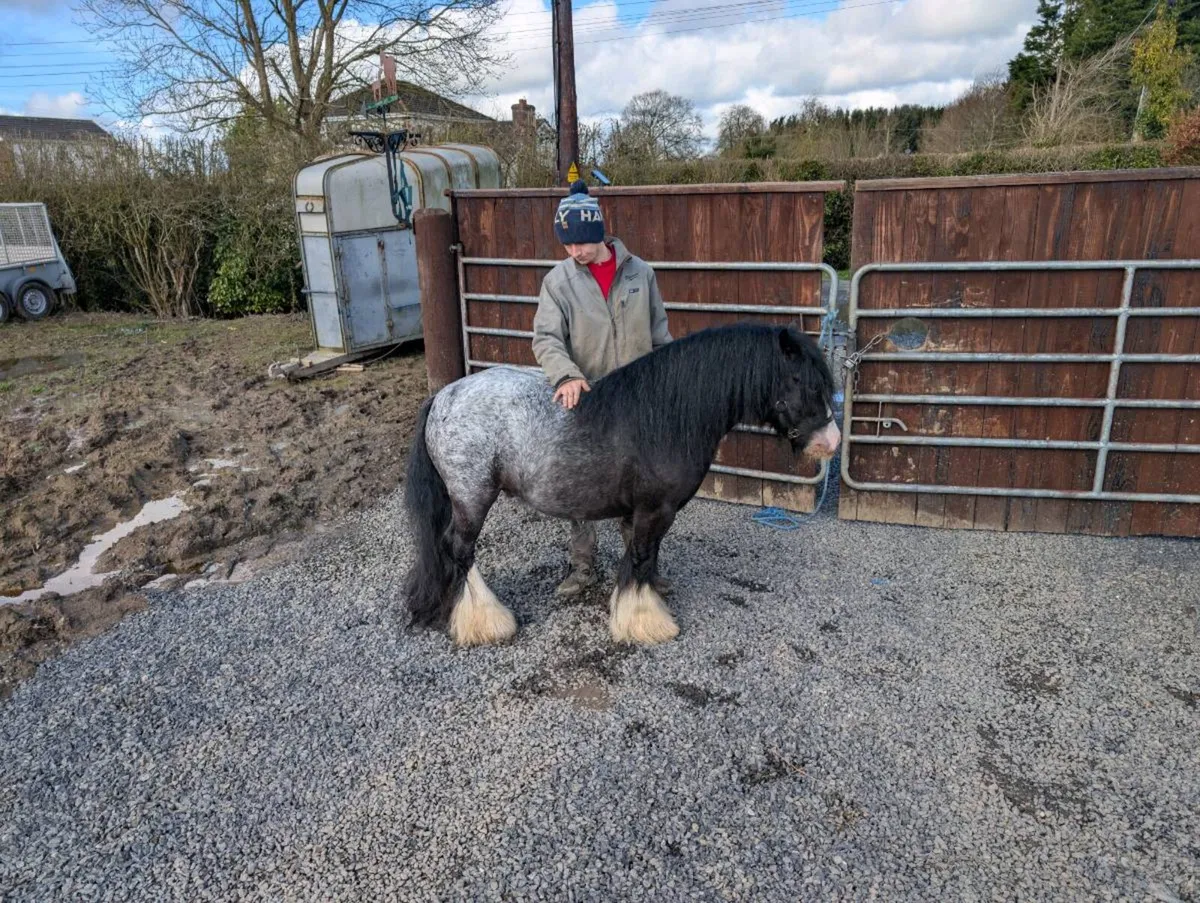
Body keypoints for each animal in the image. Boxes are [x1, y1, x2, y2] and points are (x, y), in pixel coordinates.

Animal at [402, 323, 841, 648]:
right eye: (802, 380)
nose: (831, 441)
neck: (666, 415)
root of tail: (445, 396)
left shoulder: (642, 511)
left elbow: (639, 555)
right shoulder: (655, 510)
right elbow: (642, 557)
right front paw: (645, 622)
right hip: (472, 497)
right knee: (459, 550)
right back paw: (487, 621)